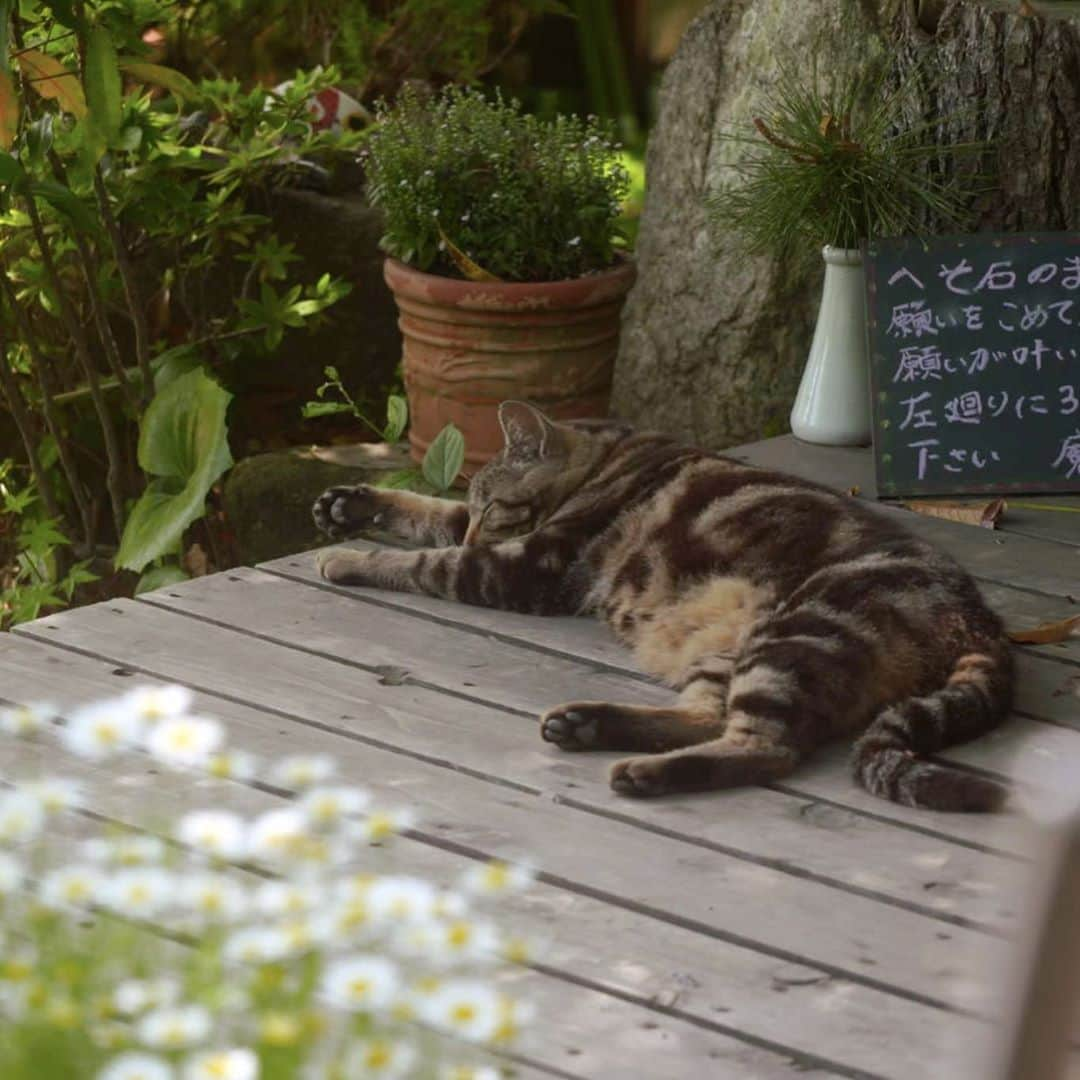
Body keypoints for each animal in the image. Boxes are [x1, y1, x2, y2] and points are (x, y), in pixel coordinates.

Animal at [313, 403, 1010, 812]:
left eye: (497, 505)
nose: (479, 531)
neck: (612, 458)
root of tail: (981, 619)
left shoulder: (526, 567)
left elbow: (427, 562)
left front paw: (348, 558)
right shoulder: (489, 542)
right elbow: (431, 513)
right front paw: (348, 504)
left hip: (798, 633)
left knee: (765, 747)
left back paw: (640, 771)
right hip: (730, 646)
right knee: (707, 716)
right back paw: (587, 725)